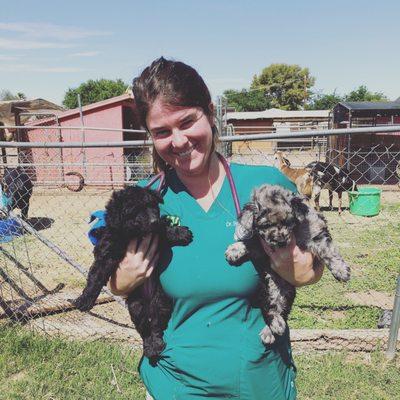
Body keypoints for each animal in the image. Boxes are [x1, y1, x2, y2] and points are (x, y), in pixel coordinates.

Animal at [76, 185, 195, 362]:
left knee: (156, 326)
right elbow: (95, 277)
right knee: (145, 329)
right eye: (133, 211)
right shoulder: (107, 251)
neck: (133, 234)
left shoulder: (154, 234)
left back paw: (155, 346)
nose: (153, 220)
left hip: (161, 301)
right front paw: (85, 299)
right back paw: (151, 348)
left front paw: (179, 232)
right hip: (136, 306)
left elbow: (162, 230)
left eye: (152, 205)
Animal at [225, 184, 350, 344]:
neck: (295, 230)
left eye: (287, 221)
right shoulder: (264, 246)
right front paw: (235, 249)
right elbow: (252, 241)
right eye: (266, 225)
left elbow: (328, 250)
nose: (281, 241)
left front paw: (341, 270)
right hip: (273, 287)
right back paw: (273, 326)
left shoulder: (316, 232)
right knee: (273, 307)